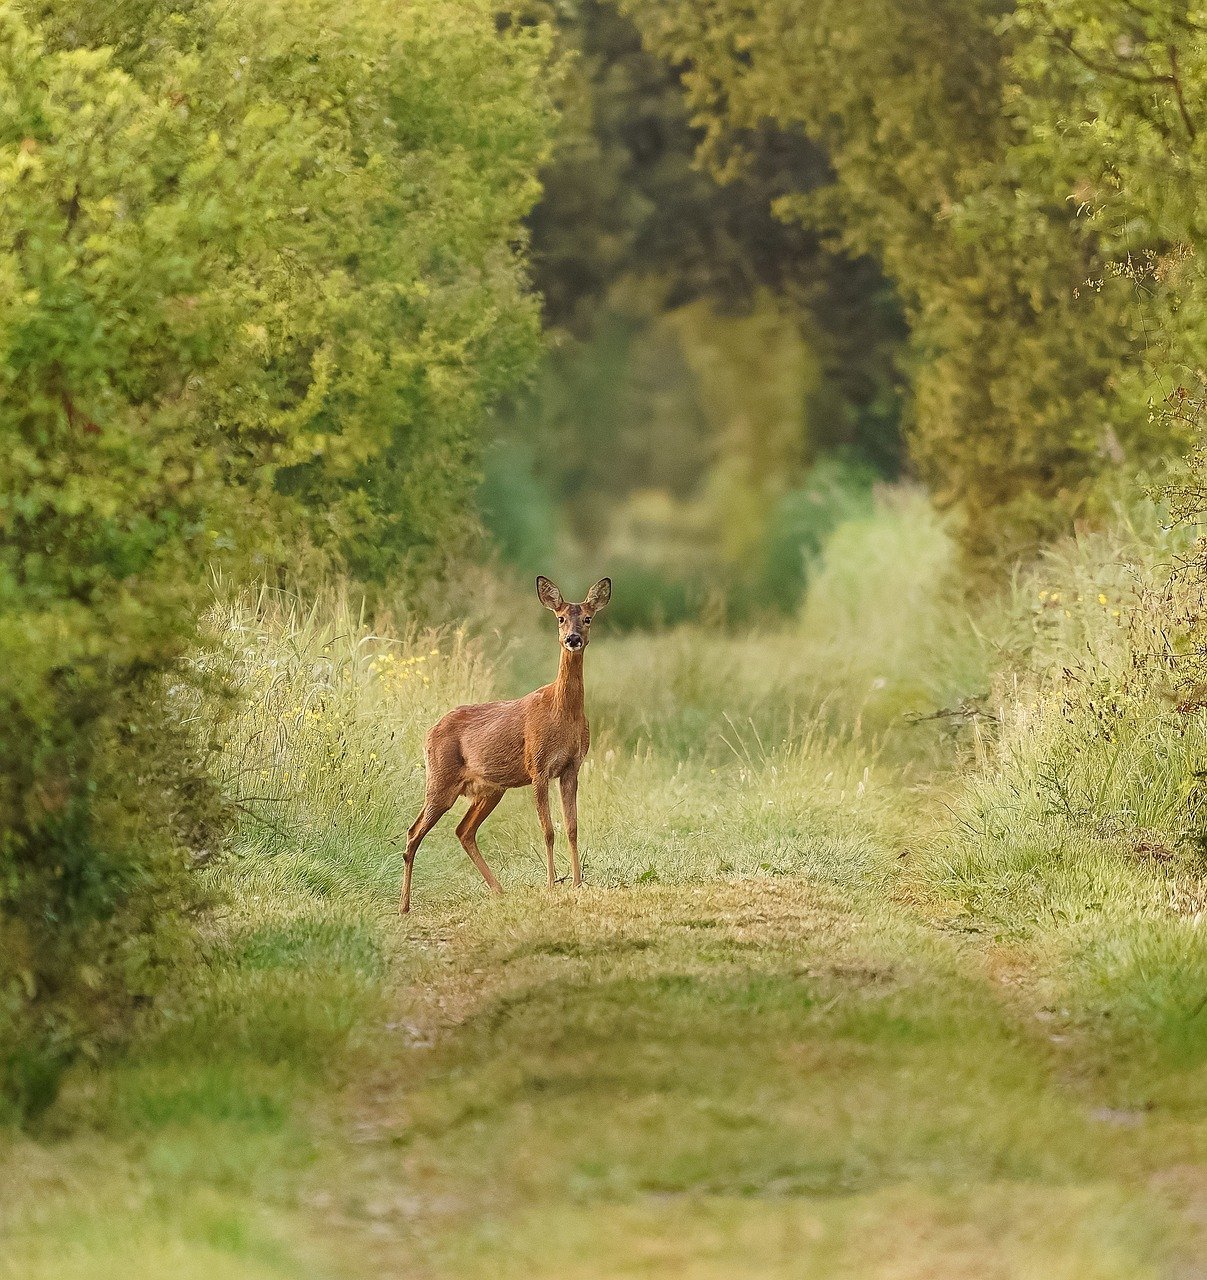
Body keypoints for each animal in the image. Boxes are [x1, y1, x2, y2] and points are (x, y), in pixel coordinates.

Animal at [399, 576, 611, 914]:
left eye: (588, 618)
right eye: (560, 618)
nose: (573, 639)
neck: (563, 712)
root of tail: (429, 732)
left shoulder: (571, 767)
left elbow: (572, 826)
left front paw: (578, 883)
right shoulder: (538, 766)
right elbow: (548, 829)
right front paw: (551, 884)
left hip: (490, 789)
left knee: (463, 830)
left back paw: (499, 890)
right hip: (440, 780)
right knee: (413, 831)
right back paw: (405, 906)